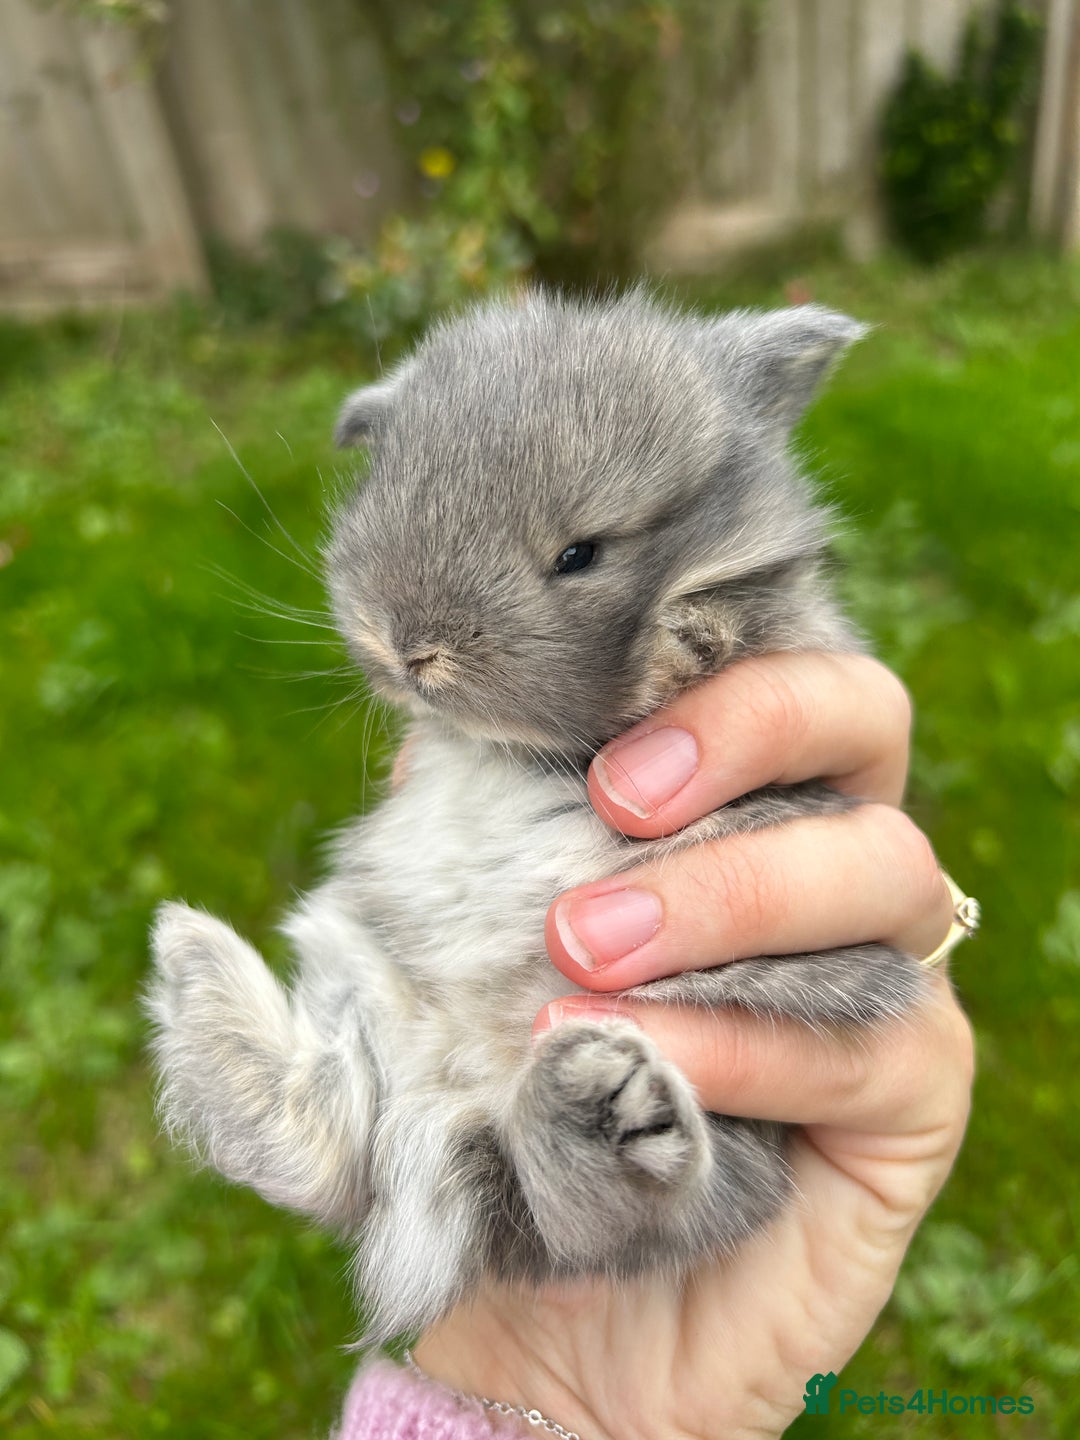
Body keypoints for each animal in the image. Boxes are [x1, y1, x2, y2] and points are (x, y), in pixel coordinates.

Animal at [147, 290, 928, 1344]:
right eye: (383, 486)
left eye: (579, 553)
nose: (408, 645)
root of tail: (451, 1092)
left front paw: (680, 635)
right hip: (363, 993)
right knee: (325, 1146)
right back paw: (189, 960)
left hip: (720, 1116)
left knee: (617, 1215)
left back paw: (598, 1107)